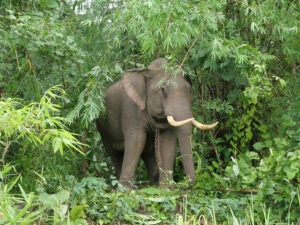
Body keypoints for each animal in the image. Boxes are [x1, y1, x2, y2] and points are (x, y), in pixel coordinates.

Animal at [96, 58, 218, 188]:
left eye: (189, 90)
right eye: (163, 90)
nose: (184, 185)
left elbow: (167, 141)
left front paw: (167, 187)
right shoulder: (131, 109)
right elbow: (137, 140)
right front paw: (125, 189)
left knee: (148, 153)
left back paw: (153, 183)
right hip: (102, 127)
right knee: (115, 154)